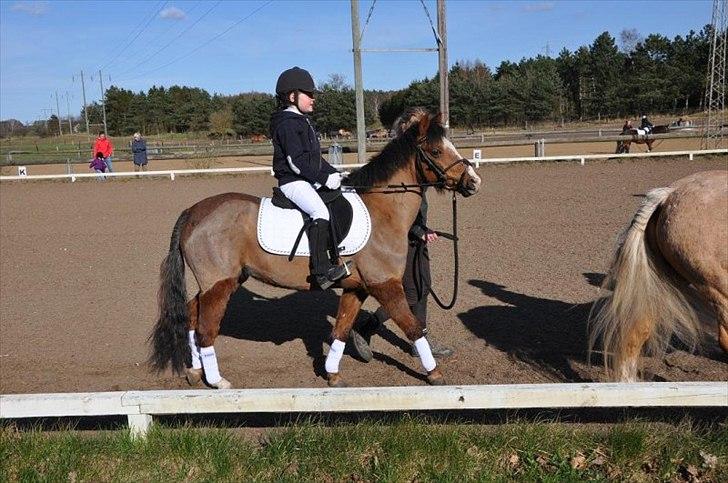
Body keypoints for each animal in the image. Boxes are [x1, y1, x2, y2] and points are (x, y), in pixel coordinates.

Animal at [149, 110, 480, 390]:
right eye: (436, 151)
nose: (473, 182)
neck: (382, 210)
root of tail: (193, 211)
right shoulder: (385, 285)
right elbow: (412, 327)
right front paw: (435, 373)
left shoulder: (356, 288)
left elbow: (341, 330)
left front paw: (333, 375)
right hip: (219, 285)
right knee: (206, 330)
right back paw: (218, 382)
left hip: (218, 283)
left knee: (191, 315)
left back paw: (194, 372)